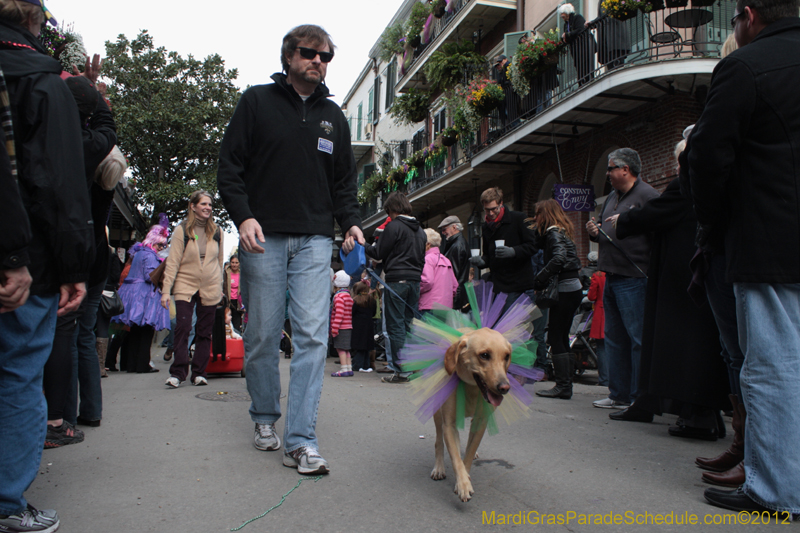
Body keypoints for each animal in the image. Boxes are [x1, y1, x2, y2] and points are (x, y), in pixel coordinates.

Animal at [432, 326, 512, 500]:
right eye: (484, 355)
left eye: (507, 356)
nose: (504, 387)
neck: (471, 386)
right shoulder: (449, 424)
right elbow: (455, 457)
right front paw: (463, 484)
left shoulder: (481, 422)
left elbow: (468, 454)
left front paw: (464, 480)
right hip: (437, 412)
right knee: (439, 440)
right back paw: (439, 467)